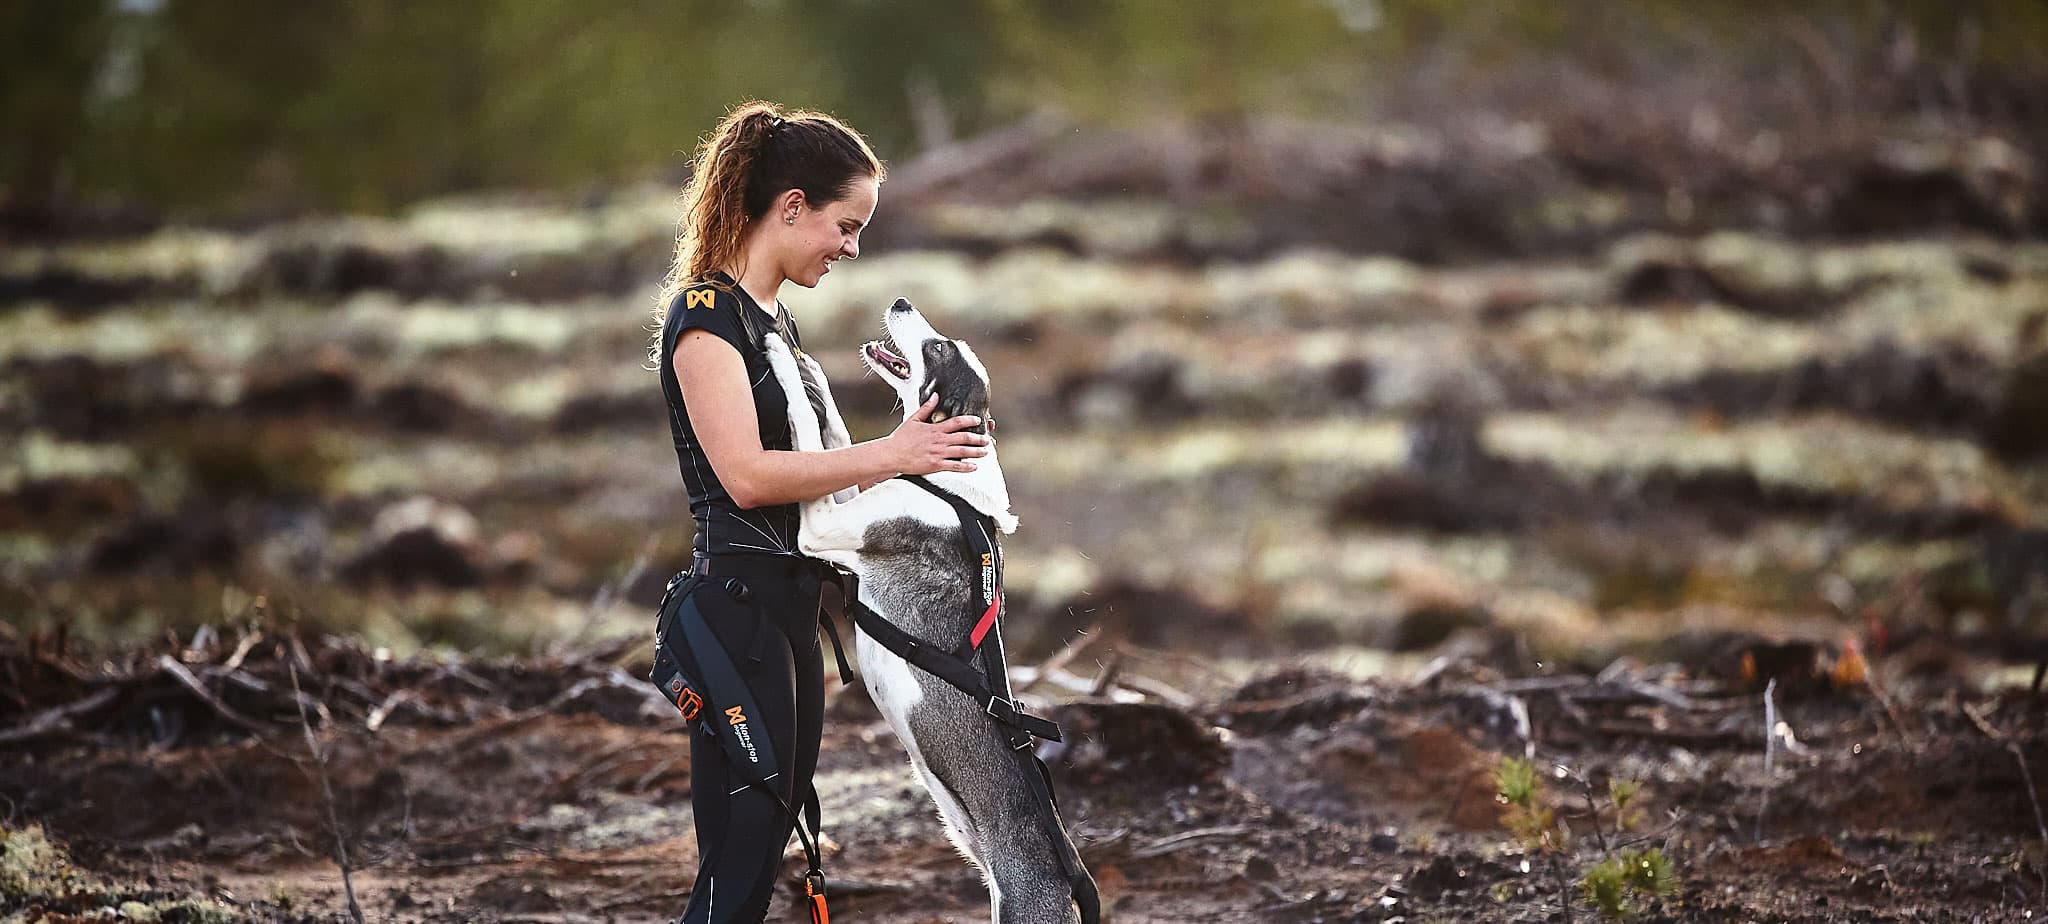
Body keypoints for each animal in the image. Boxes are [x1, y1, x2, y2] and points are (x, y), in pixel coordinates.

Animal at [761, 301, 1097, 921]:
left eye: (938, 348)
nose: (900, 303)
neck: (947, 482)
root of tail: (1066, 890)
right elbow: (835, 434)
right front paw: (809, 364)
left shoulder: (822, 530)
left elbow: (805, 429)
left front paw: (781, 357)